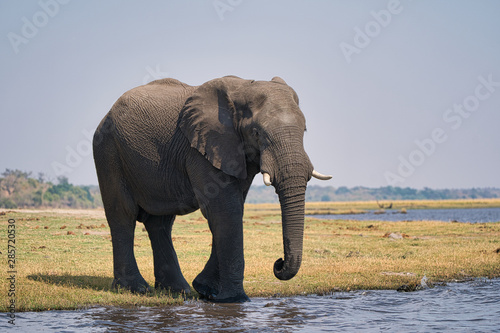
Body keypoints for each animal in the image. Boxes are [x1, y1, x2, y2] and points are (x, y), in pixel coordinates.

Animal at [93, 74, 332, 300]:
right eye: (257, 133)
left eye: (304, 130)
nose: (278, 263)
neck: (243, 88)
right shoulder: (203, 147)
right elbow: (225, 209)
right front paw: (234, 299)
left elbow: (234, 209)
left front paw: (206, 290)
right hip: (108, 150)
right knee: (123, 214)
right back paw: (135, 289)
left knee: (160, 222)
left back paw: (179, 291)